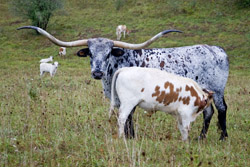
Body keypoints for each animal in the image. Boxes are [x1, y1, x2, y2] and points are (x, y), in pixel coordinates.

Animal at [17, 26, 229, 140]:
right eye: (90, 53)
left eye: (108, 53)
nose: (97, 72)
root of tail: (216, 49)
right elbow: (126, 117)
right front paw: (128, 136)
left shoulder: (131, 97)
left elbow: (129, 116)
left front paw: (130, 137)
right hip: (205, 92)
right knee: (208, 112)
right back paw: (201, 138)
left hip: (218, 90)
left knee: (222, 109)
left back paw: (223, 137)